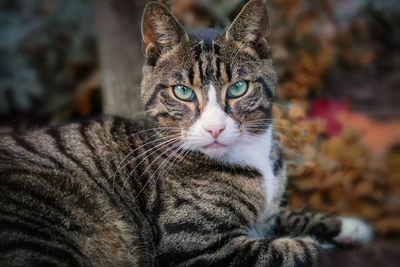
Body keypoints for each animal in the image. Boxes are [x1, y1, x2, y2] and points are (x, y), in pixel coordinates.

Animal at [1, 1, 374, 266]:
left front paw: (351, 226)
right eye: (182, 92)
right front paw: (321, 245)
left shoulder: (269, 213)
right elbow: (290, 251)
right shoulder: (193, 246)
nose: (214, 127)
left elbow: (286, 213)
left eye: (238, 88)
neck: (252, 158)